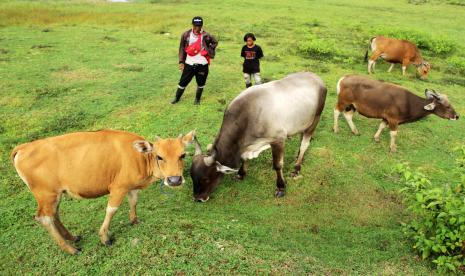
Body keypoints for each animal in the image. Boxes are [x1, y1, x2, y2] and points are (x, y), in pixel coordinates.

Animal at [11, 129, 194, 254]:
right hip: (46, 194)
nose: (175, 180)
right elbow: (111, 210)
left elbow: (134, 201)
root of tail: (24, 147)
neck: (140, 158)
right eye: (159, 156)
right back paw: (70, 248)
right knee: (44, 218)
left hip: (55, 195)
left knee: (54, 214)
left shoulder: (131, 186)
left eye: (183, 155)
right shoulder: (118, 187)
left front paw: (134, 220)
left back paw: (71, 237)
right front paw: (105, 238)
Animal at [188, 71, 326, 202]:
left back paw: (296, 168)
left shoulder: (278, 140)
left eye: (205, 179)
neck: (247, 116)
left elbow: (278, 165)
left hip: (315, 121)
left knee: (304, 144)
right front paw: (241, 174)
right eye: (191, 176)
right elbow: (244, 158)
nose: (198, 199)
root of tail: (317, 78)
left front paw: (281, 187)